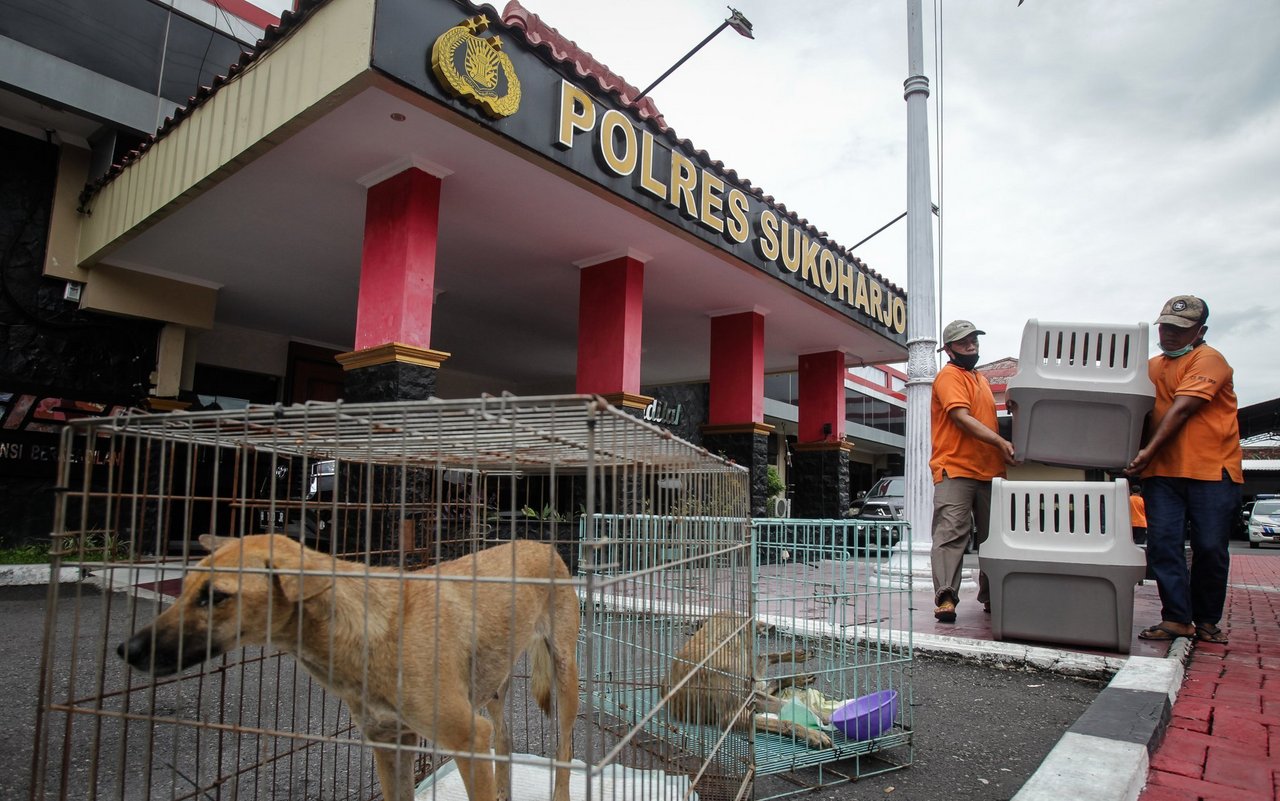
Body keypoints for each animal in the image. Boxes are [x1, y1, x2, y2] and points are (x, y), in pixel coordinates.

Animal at [120, 532, 581, 798]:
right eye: (185, 588)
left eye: (215, 596)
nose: (127, 650)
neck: (365, 630)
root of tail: (543, 545)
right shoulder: (390, 743)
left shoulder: (466, 737)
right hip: (494, 687)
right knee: (506, 738)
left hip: (564, 676)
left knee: (564, 753)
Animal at [660, 611, 829, 747]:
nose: (769, 627)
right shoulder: (730, 717)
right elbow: (783, 722)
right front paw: (813, 734)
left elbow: (796, 707)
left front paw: (826, 717)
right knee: (767, 669)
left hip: (755, 689)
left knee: (766, 662)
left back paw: (799, 665)